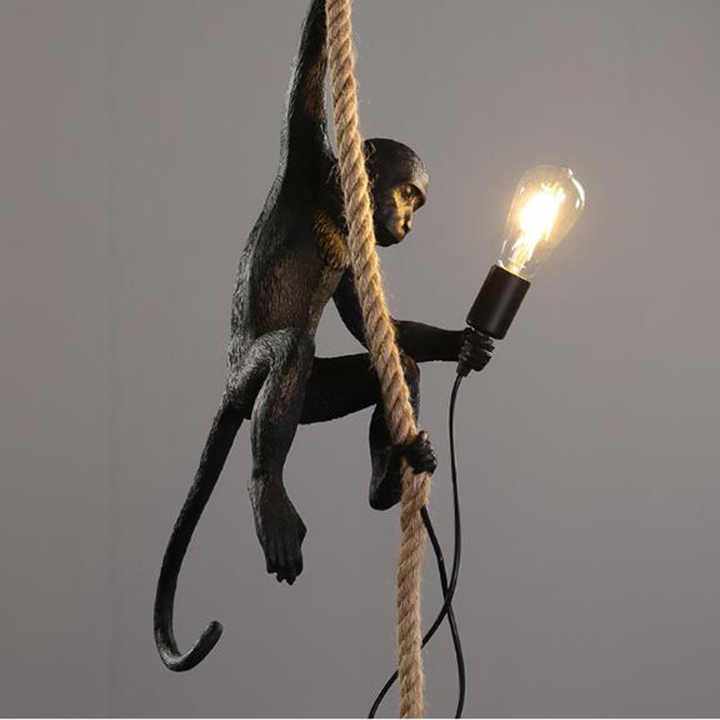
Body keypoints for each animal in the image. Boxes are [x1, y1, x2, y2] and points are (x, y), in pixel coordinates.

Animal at [154, 0, 493, 672]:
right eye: (408, 193)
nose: (408, 222)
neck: (338, 202)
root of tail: (229, 393)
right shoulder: (306, 153)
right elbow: (305, 83)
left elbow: (377, 328)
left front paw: (463, 343)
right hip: (249, 379)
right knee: (291, 350)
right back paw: (269, 493)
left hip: (316, 395)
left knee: (394, 367)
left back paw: (390, 478)